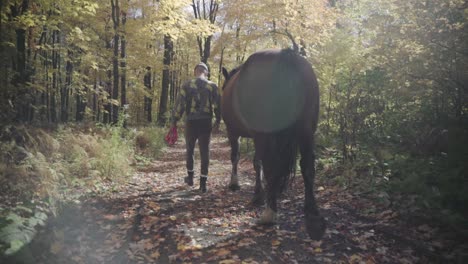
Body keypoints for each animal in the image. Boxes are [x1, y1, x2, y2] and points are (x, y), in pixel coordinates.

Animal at [222, 48, 326, 240]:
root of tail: (285, 56)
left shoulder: (233, 132)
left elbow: (238, 157)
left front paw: (237, 184)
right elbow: (257, 163)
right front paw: (258, 194)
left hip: (265, 135)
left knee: (271, 167)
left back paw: (269, 213)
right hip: (306, 130)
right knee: (308, 166)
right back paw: (313, 215)